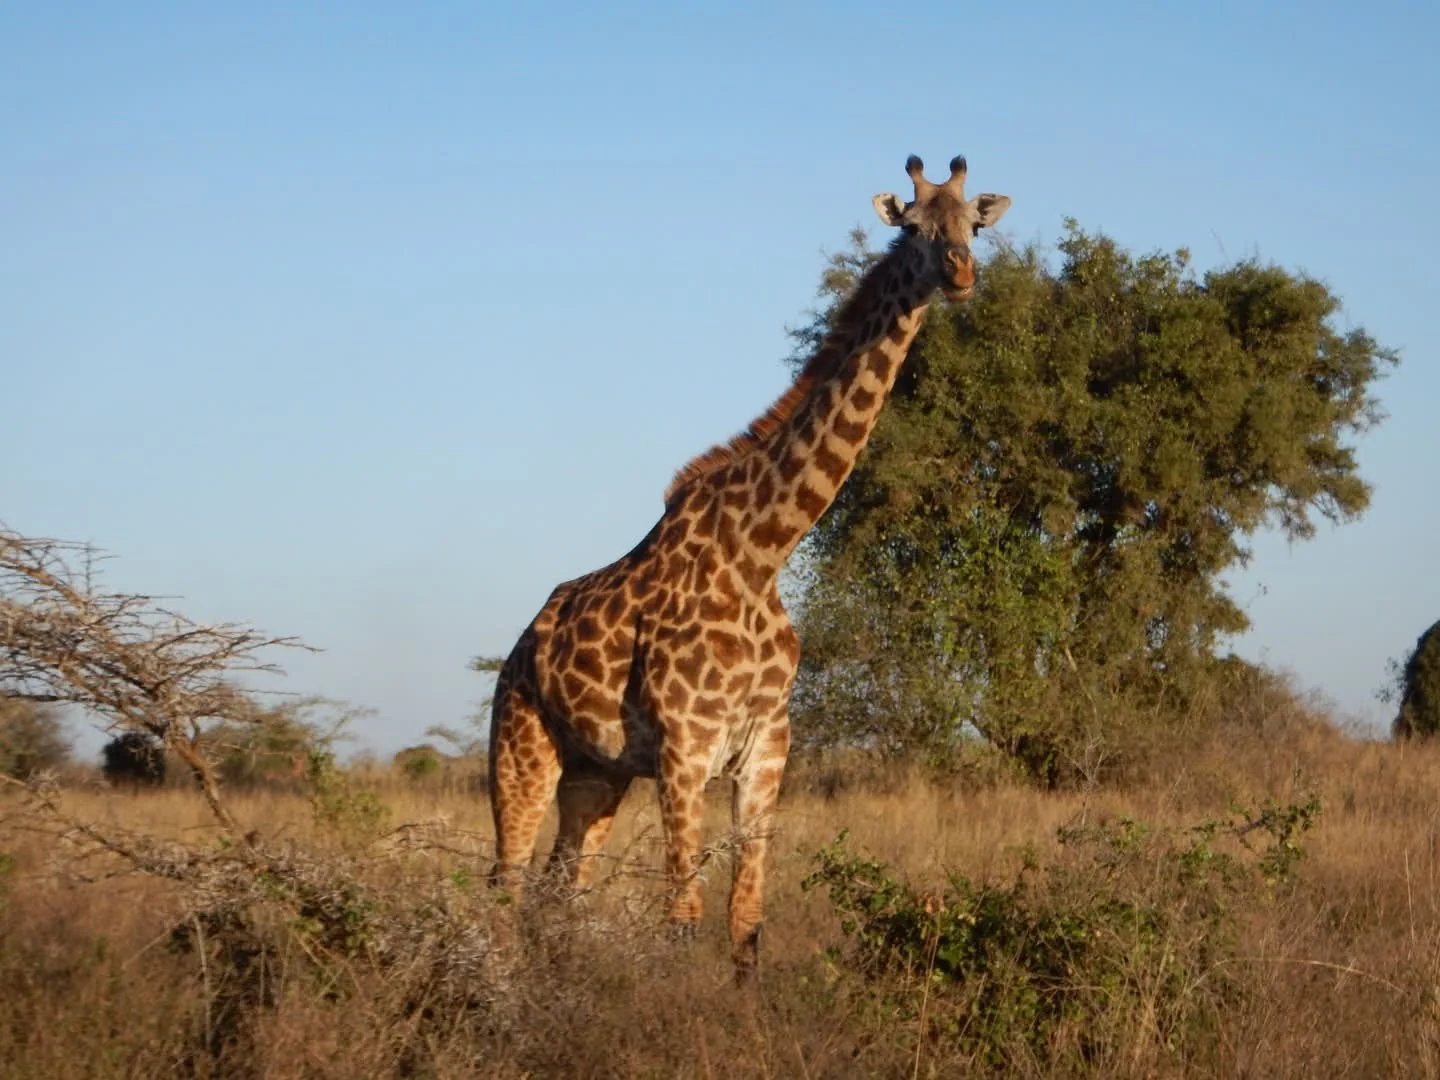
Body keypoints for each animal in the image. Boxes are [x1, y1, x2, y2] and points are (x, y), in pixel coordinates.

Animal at [487, 153, 1011, 974]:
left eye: (974, 227)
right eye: (914, 228)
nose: (959, 273)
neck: (762, 551)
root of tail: (517, 650)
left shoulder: (767, 747)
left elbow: (745, 923)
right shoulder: (684, 749)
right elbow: (685, 915)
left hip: (596, 774)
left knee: (559, 889)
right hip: (520, 750)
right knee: (505, 887)